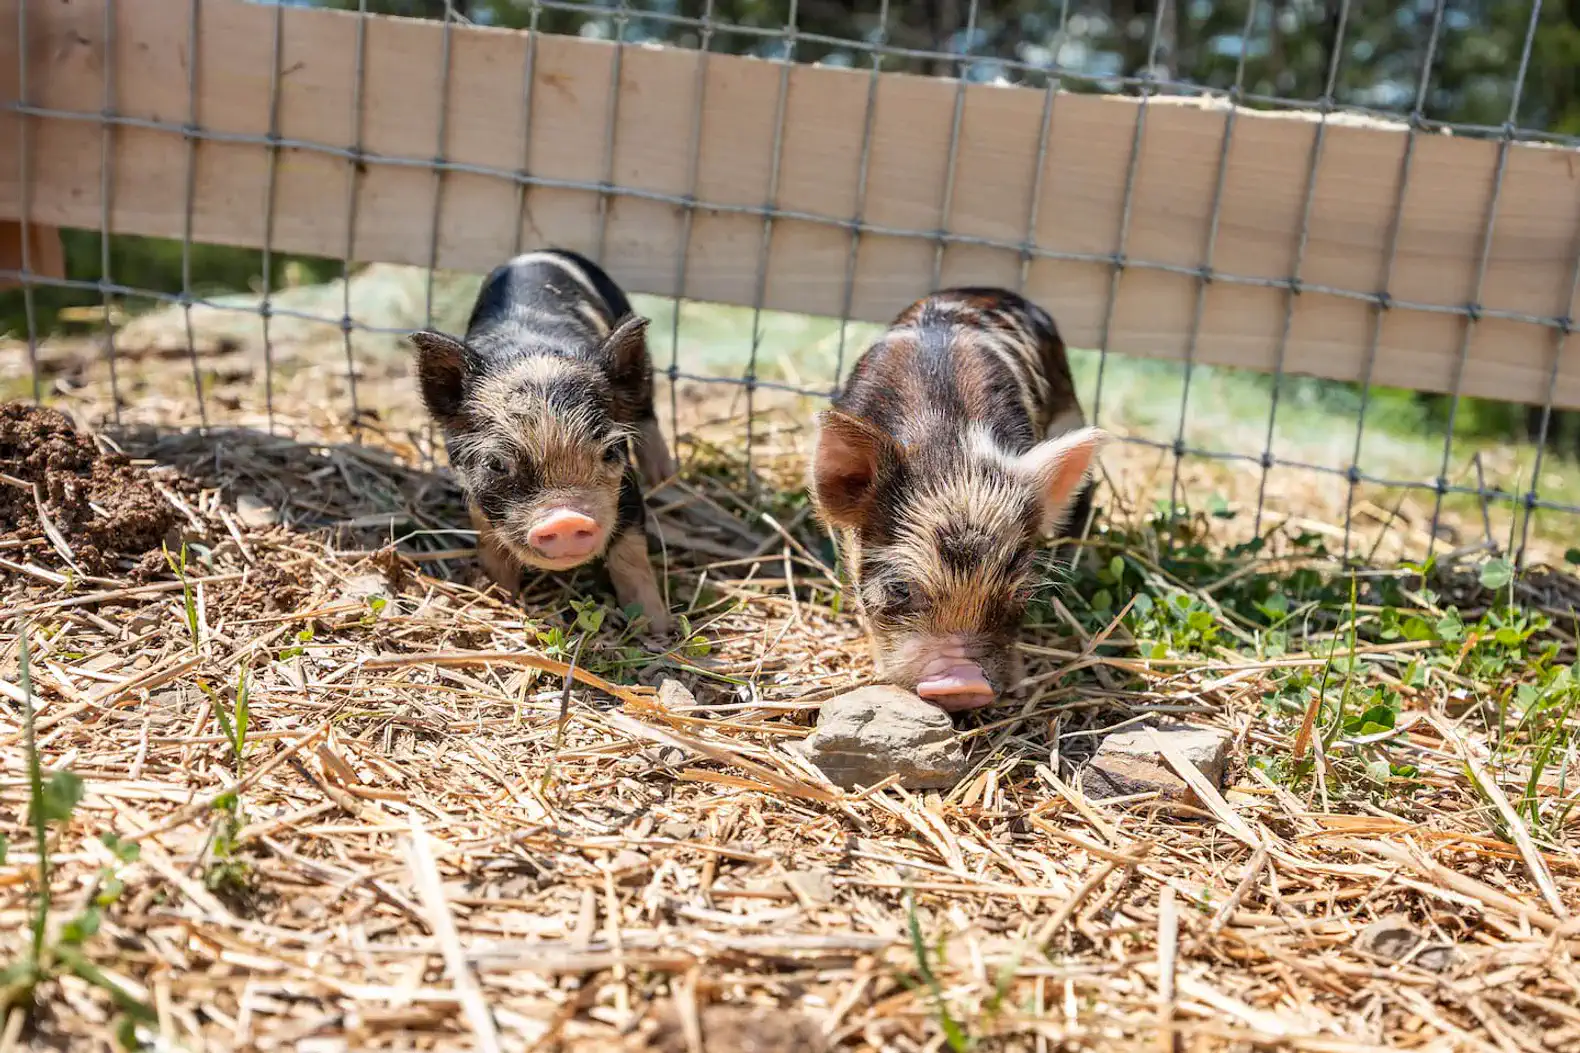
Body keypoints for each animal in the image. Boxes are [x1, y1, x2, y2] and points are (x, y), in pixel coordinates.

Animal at [408, 249, 676, 634]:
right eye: (496, 464)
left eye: (609, 452)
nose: (565, 519)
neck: (535, 353)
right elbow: (492, 548)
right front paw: (498, 599)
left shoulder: (627, 489)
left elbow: (631, 553)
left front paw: (656, 628)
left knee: (646, 409)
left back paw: (666, 477)